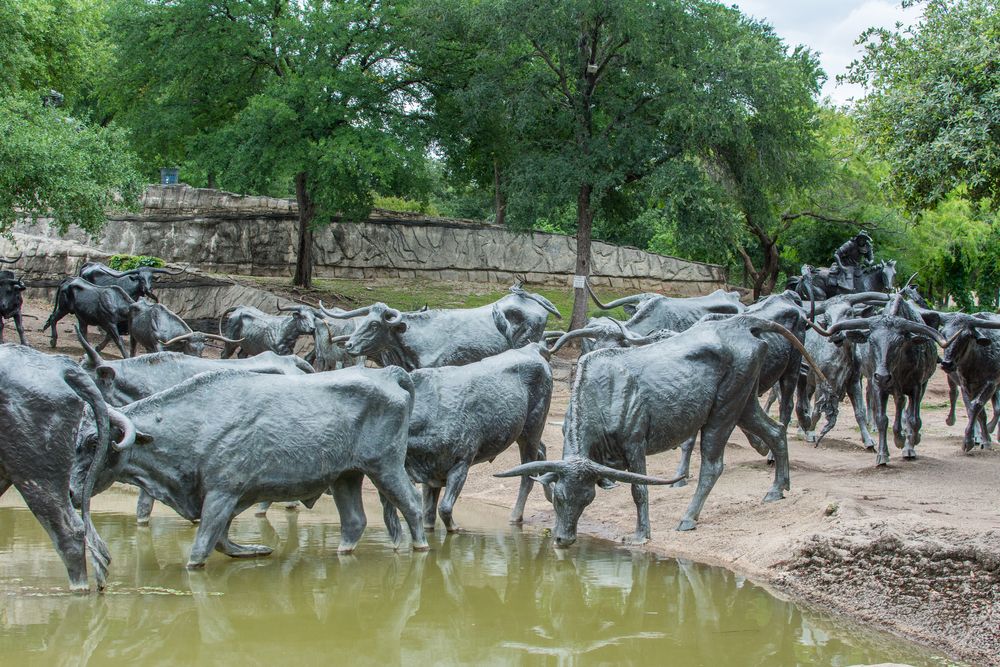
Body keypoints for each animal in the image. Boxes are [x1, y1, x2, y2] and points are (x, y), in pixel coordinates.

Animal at [70, 367, 428, 567]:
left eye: (94, 442)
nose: (73, 492)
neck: (197, 420)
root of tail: (389, 373)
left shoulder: (222, 494)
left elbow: (201, 548)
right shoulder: (230, 499)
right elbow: (220, 540)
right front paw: (257, 550)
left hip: (384, 467)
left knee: (412, 504)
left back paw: (421, 547)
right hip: (345, 476)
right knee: (354, 521)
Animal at [496, 316, 822, 546]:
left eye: (587, 499)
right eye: (559, 497)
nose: (564, 540)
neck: (601, 392)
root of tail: (741, 324)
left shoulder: (635, 444)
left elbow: (639, 490)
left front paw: (642, 534)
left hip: (724, 410)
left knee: (713, 465)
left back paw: (688, 518)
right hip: (745, 403)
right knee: (776, 432)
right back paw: (777, 489)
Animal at [810, 295, 957, 465]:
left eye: (899, 343)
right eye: (872, 341)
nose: (883, 376)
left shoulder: (916, 386)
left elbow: (914, 419)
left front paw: (909, 446)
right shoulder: (878, 386)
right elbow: (882, 420)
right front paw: (883, 454)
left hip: (921, 385)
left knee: (908, 411)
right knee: (899, 403)